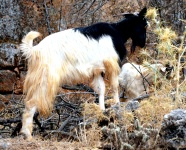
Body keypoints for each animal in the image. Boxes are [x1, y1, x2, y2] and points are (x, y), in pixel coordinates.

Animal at [20, 7, 148, 139]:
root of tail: (34, 50)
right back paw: (28, 135)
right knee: (31, 102)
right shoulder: (111, 65)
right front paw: (117, 106)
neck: (117, 31)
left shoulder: (98, 70)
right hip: (45, 78)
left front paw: (102, 111)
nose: (143, 43)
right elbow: (114, 87)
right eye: (144, 25)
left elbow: (101, 89)